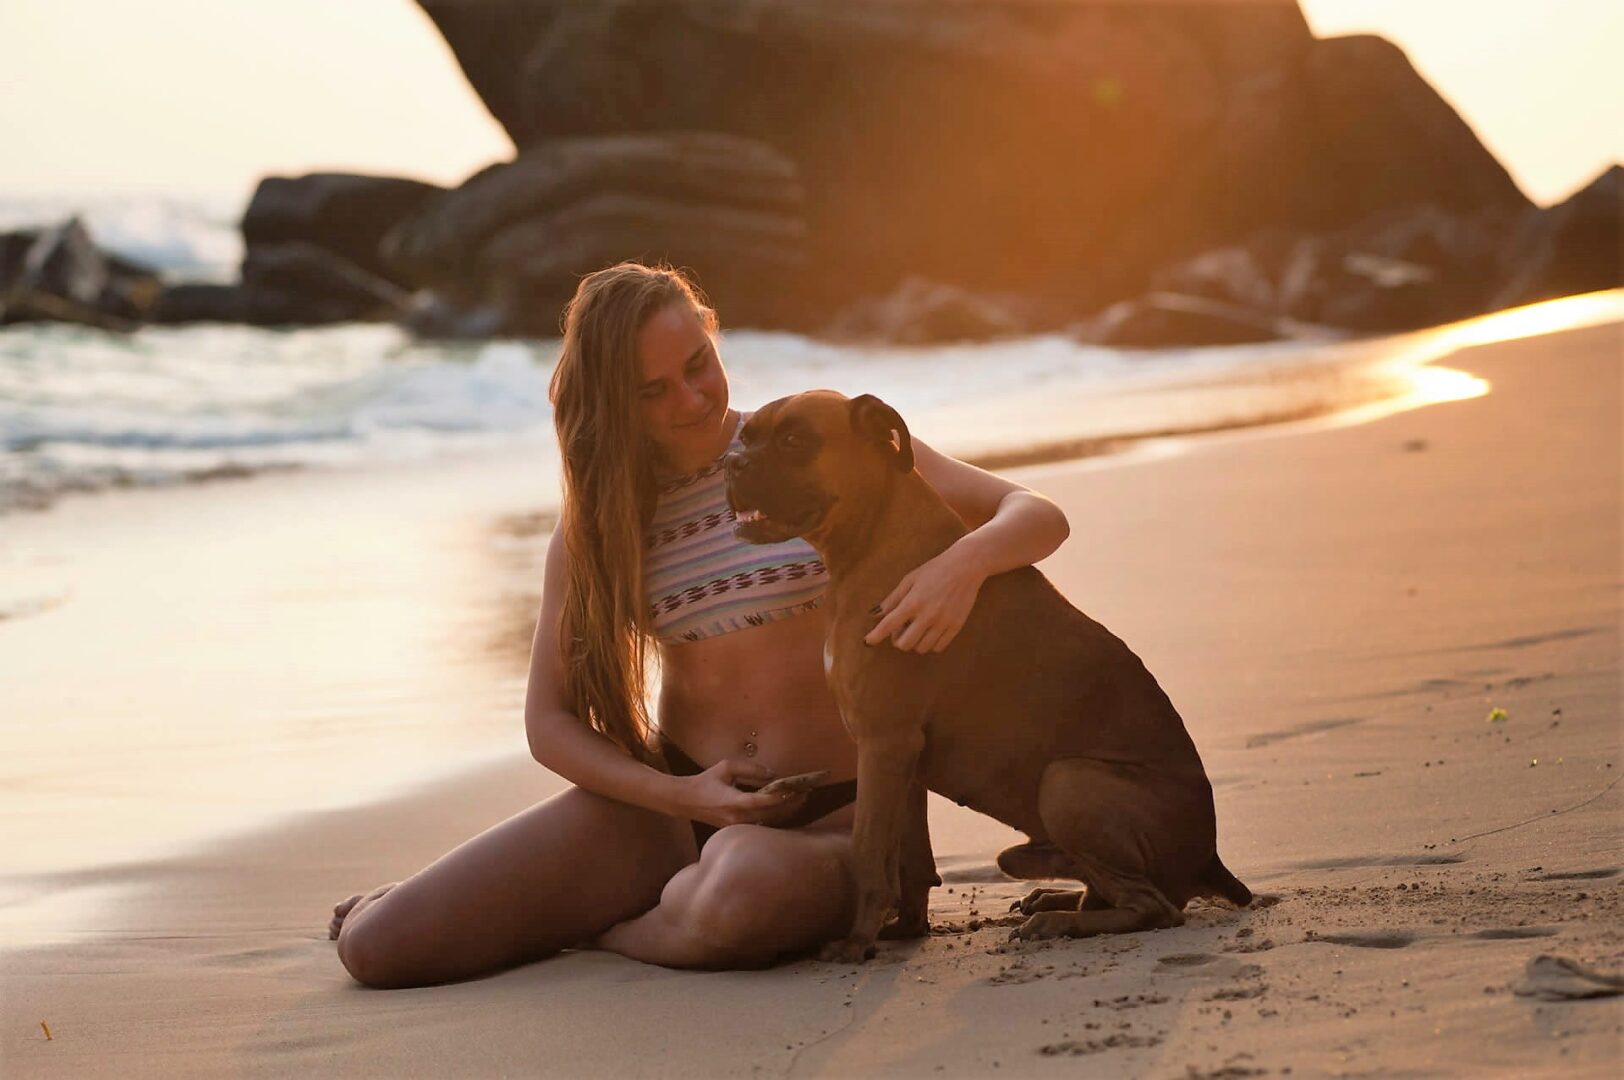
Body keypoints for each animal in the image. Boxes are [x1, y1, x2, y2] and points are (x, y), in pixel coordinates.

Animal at [730, 388, 1247, 961]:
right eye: (747, 436)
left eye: (794, 440)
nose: (732, 462)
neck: (874, 541)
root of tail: (1210, 856)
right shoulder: (901, 758)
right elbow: (907, 855)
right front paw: (905, 927)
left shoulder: (884, 743)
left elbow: (867, 850)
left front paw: (856, 942)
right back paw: (1055, 897)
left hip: (1068, 781)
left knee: (1154, 907)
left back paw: (1059, 921)